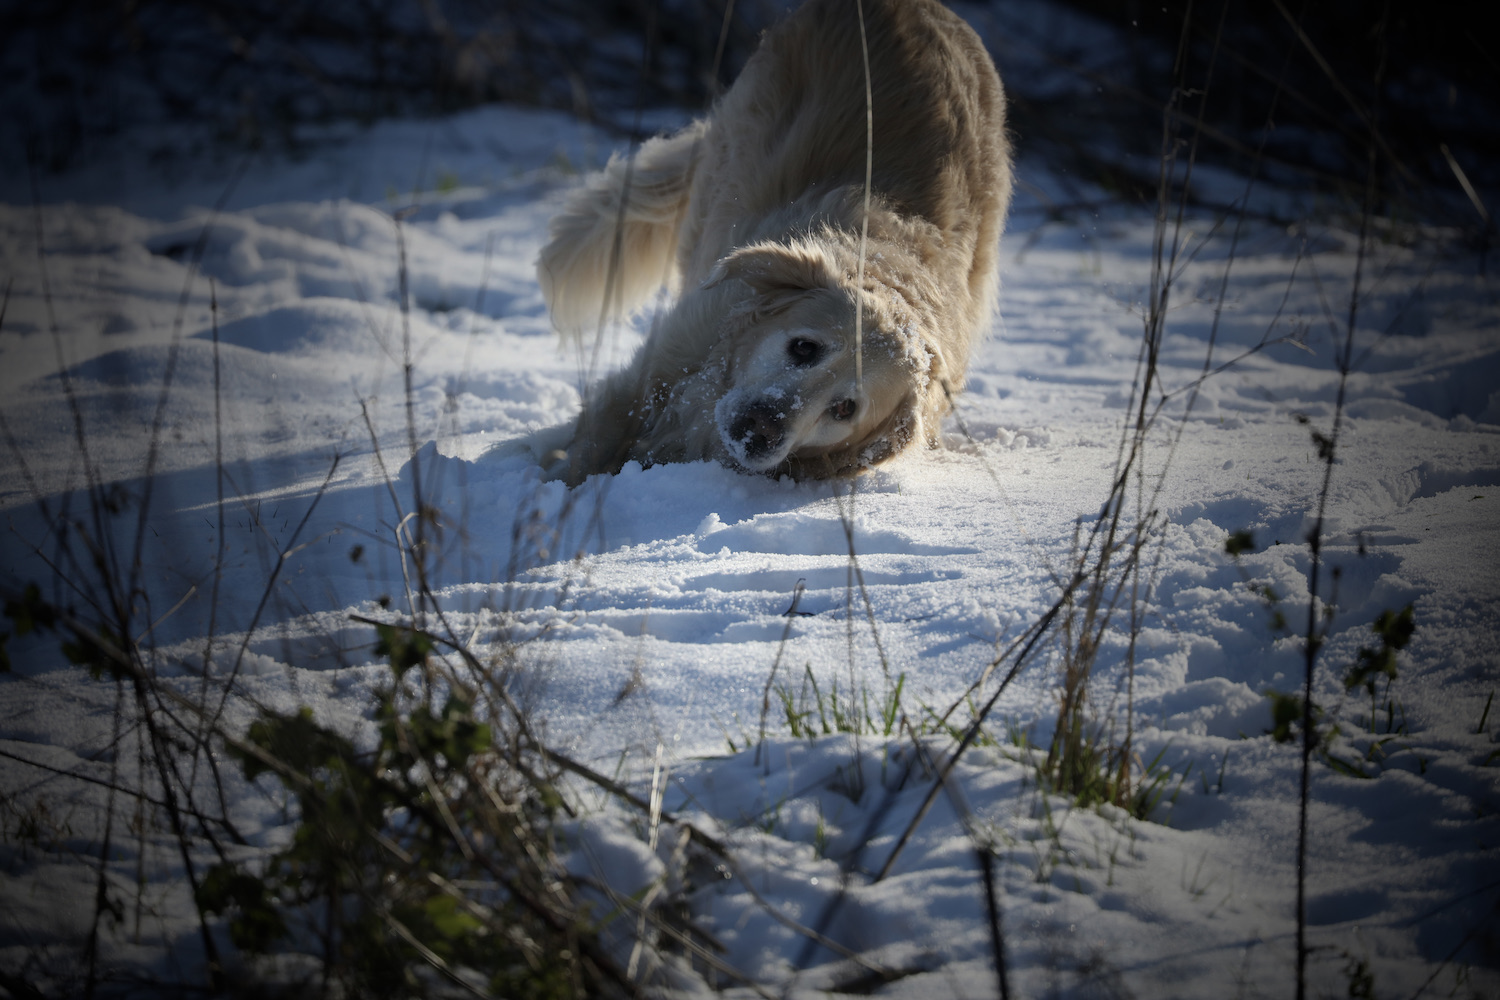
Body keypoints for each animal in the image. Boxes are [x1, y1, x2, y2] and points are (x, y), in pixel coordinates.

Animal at [528, 0, 1008, 488]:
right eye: (803, 347)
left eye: (844, 409)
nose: (762, 427)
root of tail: (924, 8)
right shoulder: (660, 364)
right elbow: (592, 445)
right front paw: (550, 490)